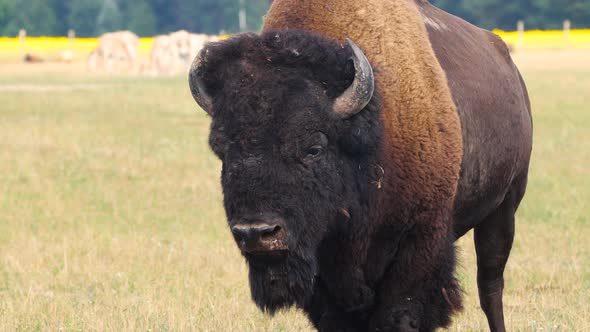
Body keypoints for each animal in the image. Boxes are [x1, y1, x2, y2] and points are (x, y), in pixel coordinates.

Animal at [191, 1, 536, 330]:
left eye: (314, 148)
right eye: (222, 151)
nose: (257, 233)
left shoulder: (418, 243)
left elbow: (400, 314)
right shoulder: (324, 269)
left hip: (504, 207)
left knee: (490, 286)